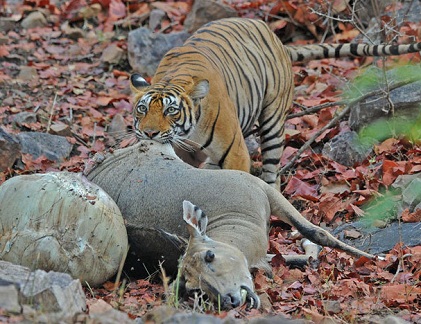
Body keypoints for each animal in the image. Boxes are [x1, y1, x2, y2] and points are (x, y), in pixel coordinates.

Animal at [129, 17, 420, 190]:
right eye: (142, 109)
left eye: (171, 111)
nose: (149, 133)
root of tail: (274, 34)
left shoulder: (234, 152)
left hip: (272, 121)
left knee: (271, 172)